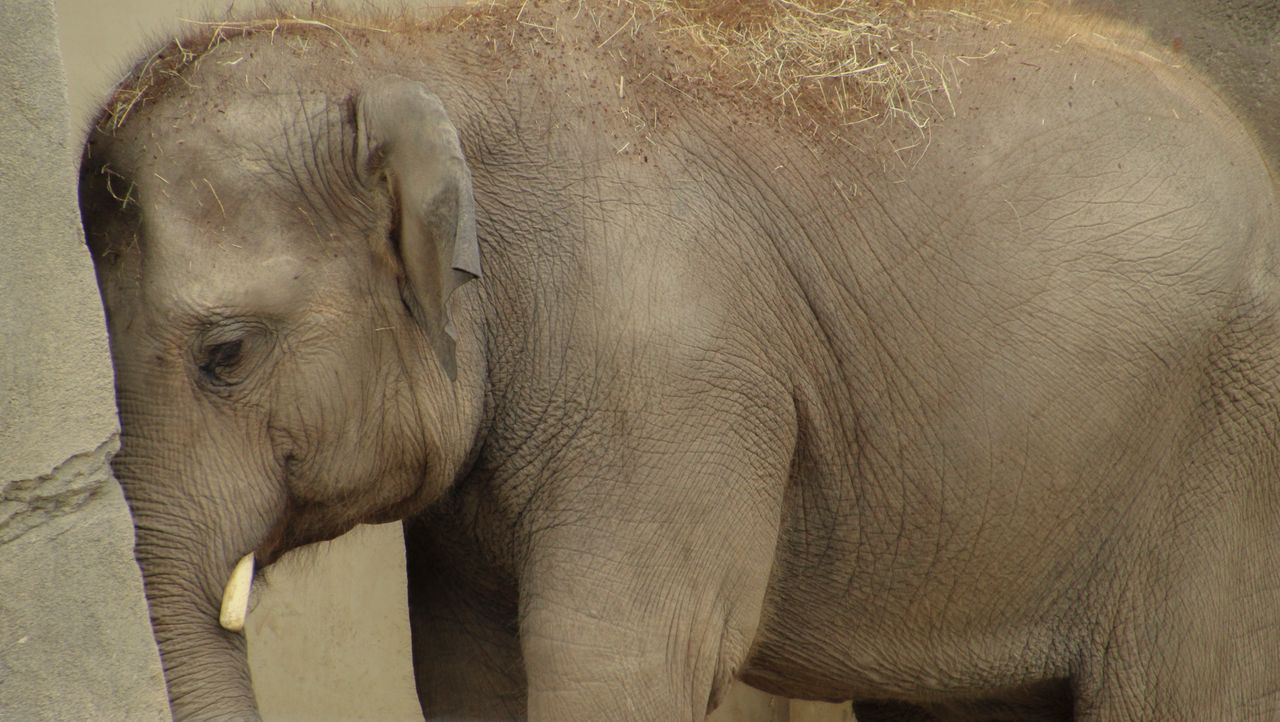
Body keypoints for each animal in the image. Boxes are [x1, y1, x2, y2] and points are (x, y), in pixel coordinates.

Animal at [78, 1, 1280, 720]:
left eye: (226, 354)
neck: (407, 50)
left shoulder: (669, 385)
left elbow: (613, 662)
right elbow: (468, 665)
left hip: (1224, 455)